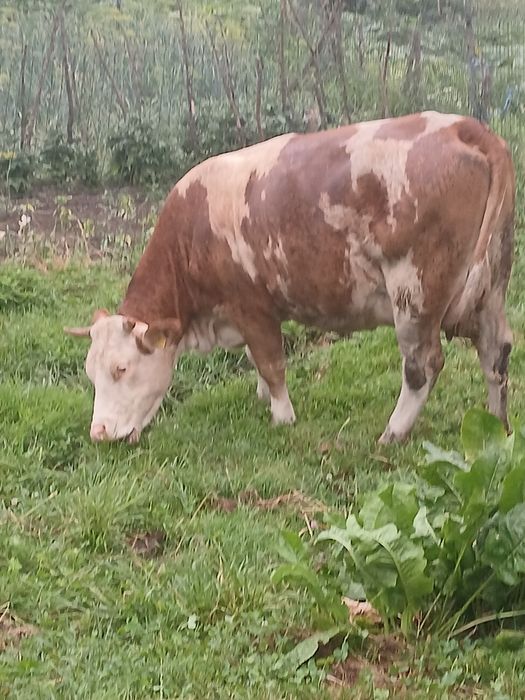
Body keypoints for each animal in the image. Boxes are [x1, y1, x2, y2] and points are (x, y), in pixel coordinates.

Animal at [66, 111, 515, 445]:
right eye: (90, 372)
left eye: (121, 369)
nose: (98, 432)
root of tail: (460, 126)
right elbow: (255, 361)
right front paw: (263, 398)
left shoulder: (252, 306)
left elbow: (270, 362)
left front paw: (282, 416)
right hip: (491, 286)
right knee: (496, 350)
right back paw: (498, 428)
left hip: (414, 293)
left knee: (423, 365)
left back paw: (393, 432)